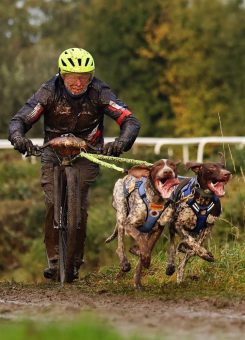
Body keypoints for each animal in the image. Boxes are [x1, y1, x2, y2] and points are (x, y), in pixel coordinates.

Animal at [105, 158, 180, 288]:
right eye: (158, 166)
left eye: (172, 165)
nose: (167, 171)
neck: (155, 200)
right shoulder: (129, 224)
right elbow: (140, 239)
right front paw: (144, 256)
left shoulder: (157, 229)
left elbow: (147, 247)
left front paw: (142, 266)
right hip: (121, 212)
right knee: (120, 245)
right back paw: (124, 262)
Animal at [166, 155, 231, 284]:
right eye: (211, 168)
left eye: (223, 166)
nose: (227, 174)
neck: (203, 201)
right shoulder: (178, 225)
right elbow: (191, 242)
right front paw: (203, 253)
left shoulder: (208, 228)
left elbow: (195, 245)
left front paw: (198, 252)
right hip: (171, 224)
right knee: (172, 246)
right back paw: (171, 265)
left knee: (181, 264)